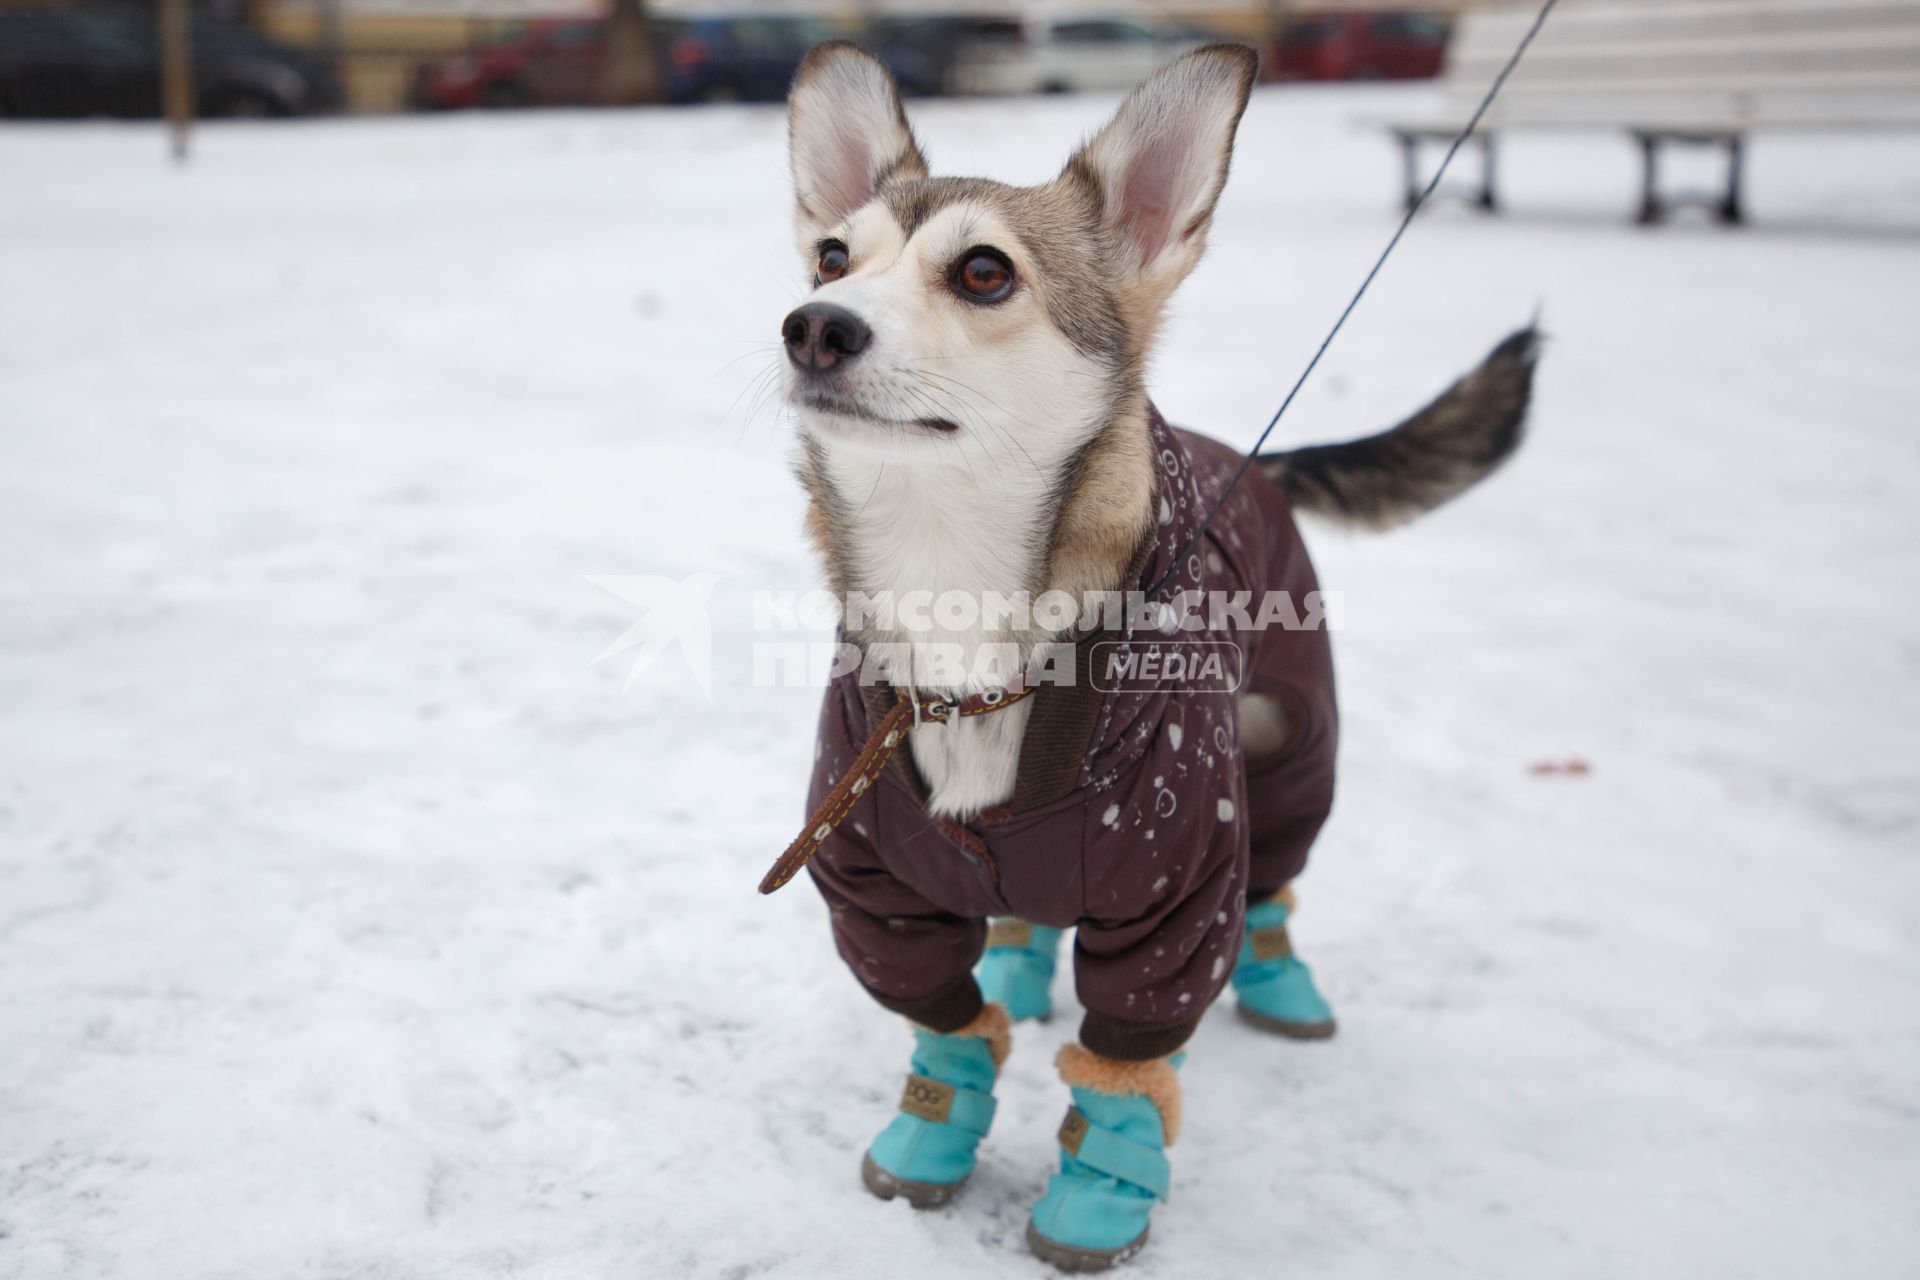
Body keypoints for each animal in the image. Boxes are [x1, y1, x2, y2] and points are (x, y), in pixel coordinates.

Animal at [771, 40, 1536, 1274]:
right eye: (834, 256)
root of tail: (1256, 461)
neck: (961, 610)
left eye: (983, 272)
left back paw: (1280, 981)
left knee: (1274, 878)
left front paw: (1102, 1192)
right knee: (1029, 920)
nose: (813, 325)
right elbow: (945, 1020)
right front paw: (933, 1131)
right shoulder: (872, 886)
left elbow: (1128, 1060)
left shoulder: (1179, 879)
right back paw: (1022, 958)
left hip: (1288, 743)